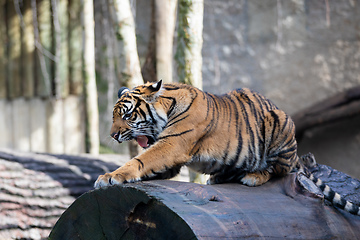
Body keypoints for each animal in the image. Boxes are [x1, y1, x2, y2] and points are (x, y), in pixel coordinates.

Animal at [95, 80, 360, 216]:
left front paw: (109, 177)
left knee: (279, 171)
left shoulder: (172, 144)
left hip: (279, 123)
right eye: (114, 116)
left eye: (127, 115)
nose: (113, 135)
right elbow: (148, 165)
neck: (167, 106)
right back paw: (219, 177)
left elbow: (141, 159)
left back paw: (253, 176)